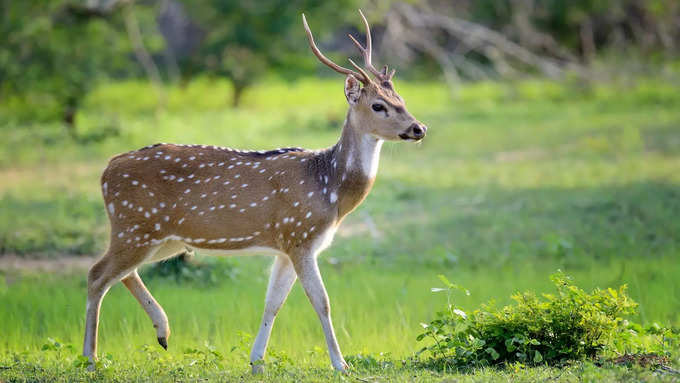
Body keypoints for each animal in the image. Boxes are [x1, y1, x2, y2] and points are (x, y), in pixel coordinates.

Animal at [83, 10, 424, 374]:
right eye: (378, 106)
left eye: (402, 100)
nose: (419, 128)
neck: (329, 188)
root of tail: (106, 171)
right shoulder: (300, 235)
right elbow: (322, 301)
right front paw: (341, 364)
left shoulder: (286, 245)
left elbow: (272, 302)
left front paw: (257, 361)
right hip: (135, 226)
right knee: (96, 274)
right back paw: (91, 357)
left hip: (162, 237)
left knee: (119, 273)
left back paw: (162, 333)